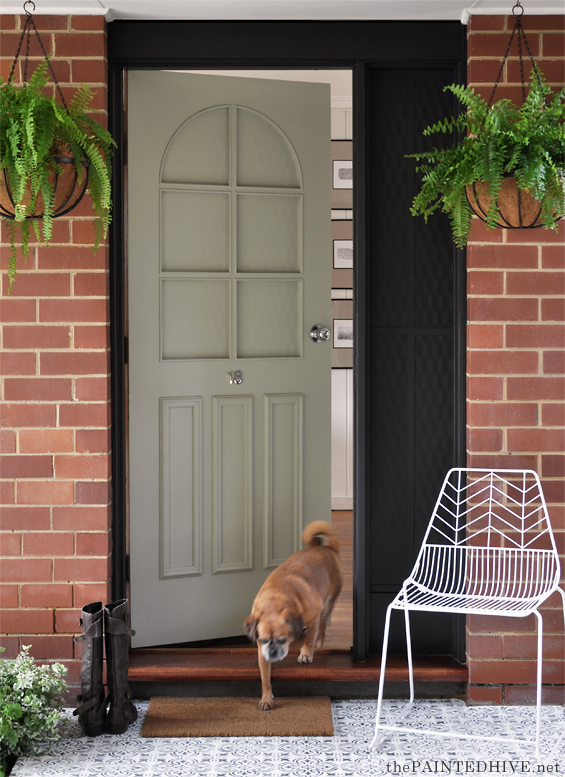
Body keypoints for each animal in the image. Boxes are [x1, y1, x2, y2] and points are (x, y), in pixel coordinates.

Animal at [241, 520, 340, 708]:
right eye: (263, 640)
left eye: (283, 640)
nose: (273, 653)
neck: (275, 600)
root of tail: (328, 548)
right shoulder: (262, 654)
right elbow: (265, 679)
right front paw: (266, 698)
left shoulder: (313, 616)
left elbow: (309, 637)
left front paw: (306, 653)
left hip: (326, 605)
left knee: (322, 627)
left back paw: (318, 644)